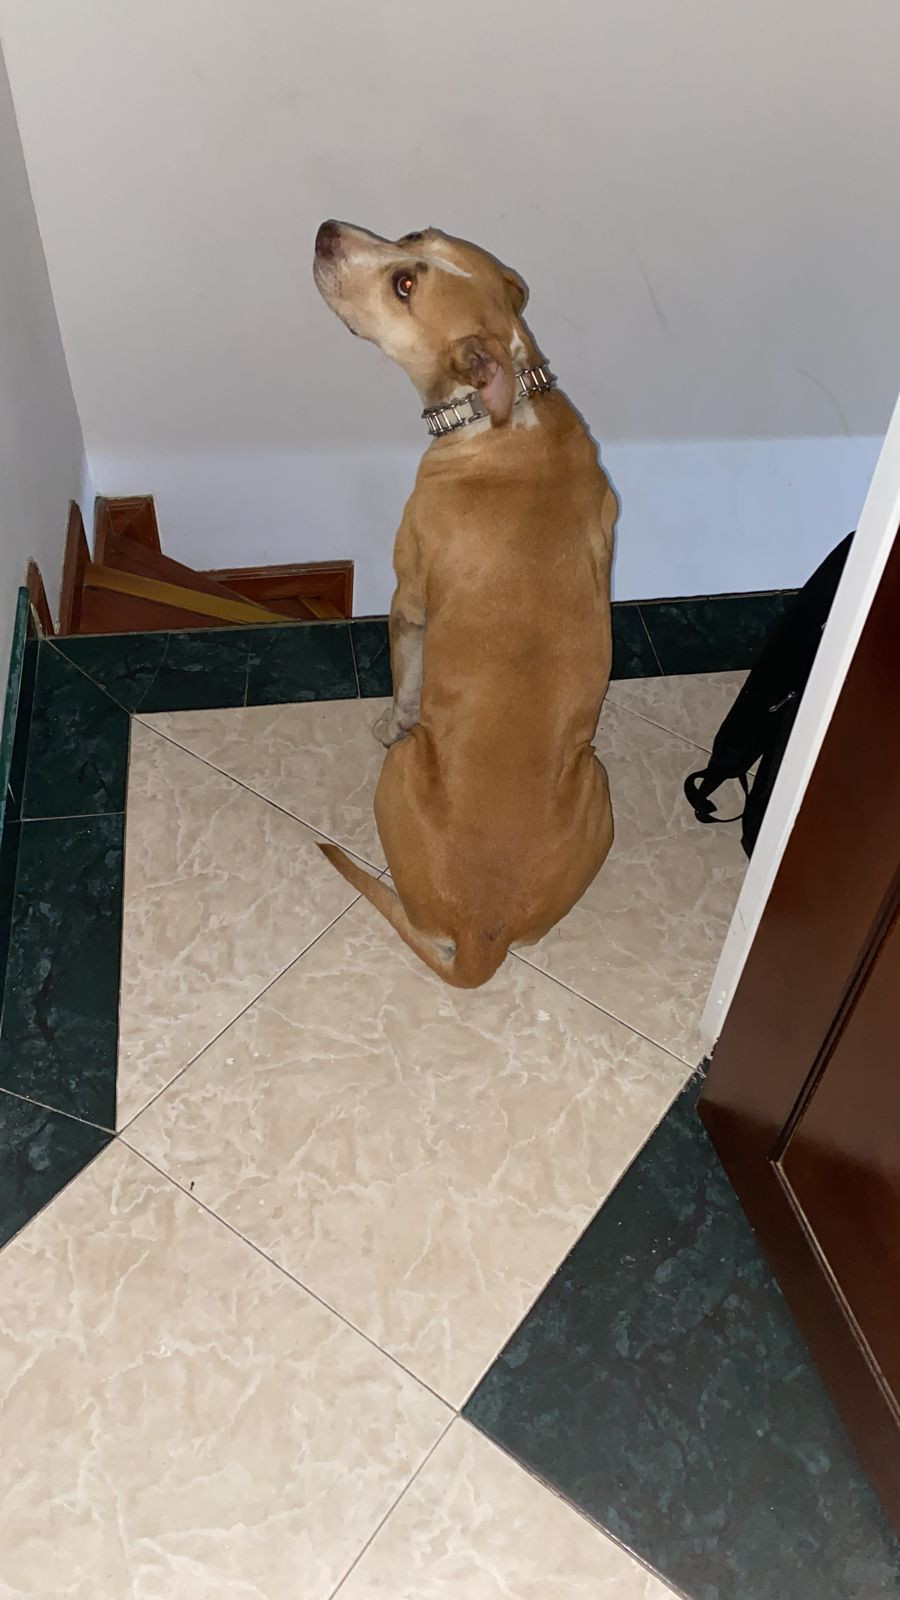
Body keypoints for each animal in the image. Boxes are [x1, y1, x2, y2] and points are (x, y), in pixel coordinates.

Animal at [313, 221, 617, 988]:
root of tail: (483, 933)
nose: (326, 231)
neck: (501, 412)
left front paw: (387, 716)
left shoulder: (408, 599)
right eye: (415, 235)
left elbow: (405, 682)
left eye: (404, 285)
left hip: (399, 778)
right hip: (596, 787)